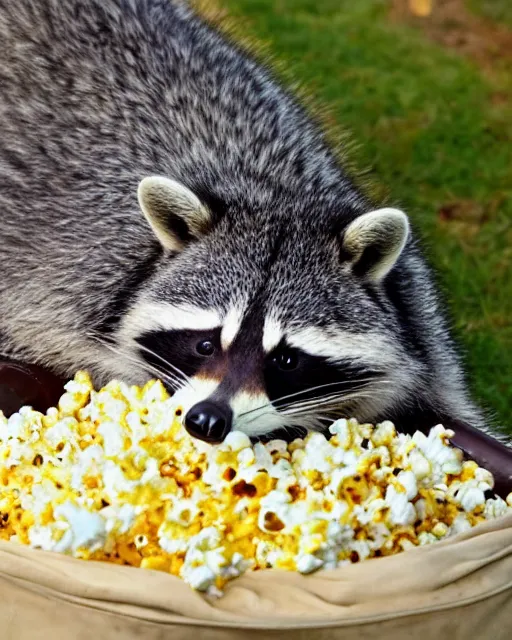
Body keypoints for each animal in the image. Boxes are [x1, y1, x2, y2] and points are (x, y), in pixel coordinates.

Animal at [0, 0, 498, 442]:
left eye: (287, 360)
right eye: (204, 344)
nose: (208, 420)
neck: (275, 196)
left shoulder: (417, 313)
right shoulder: (65, 281)